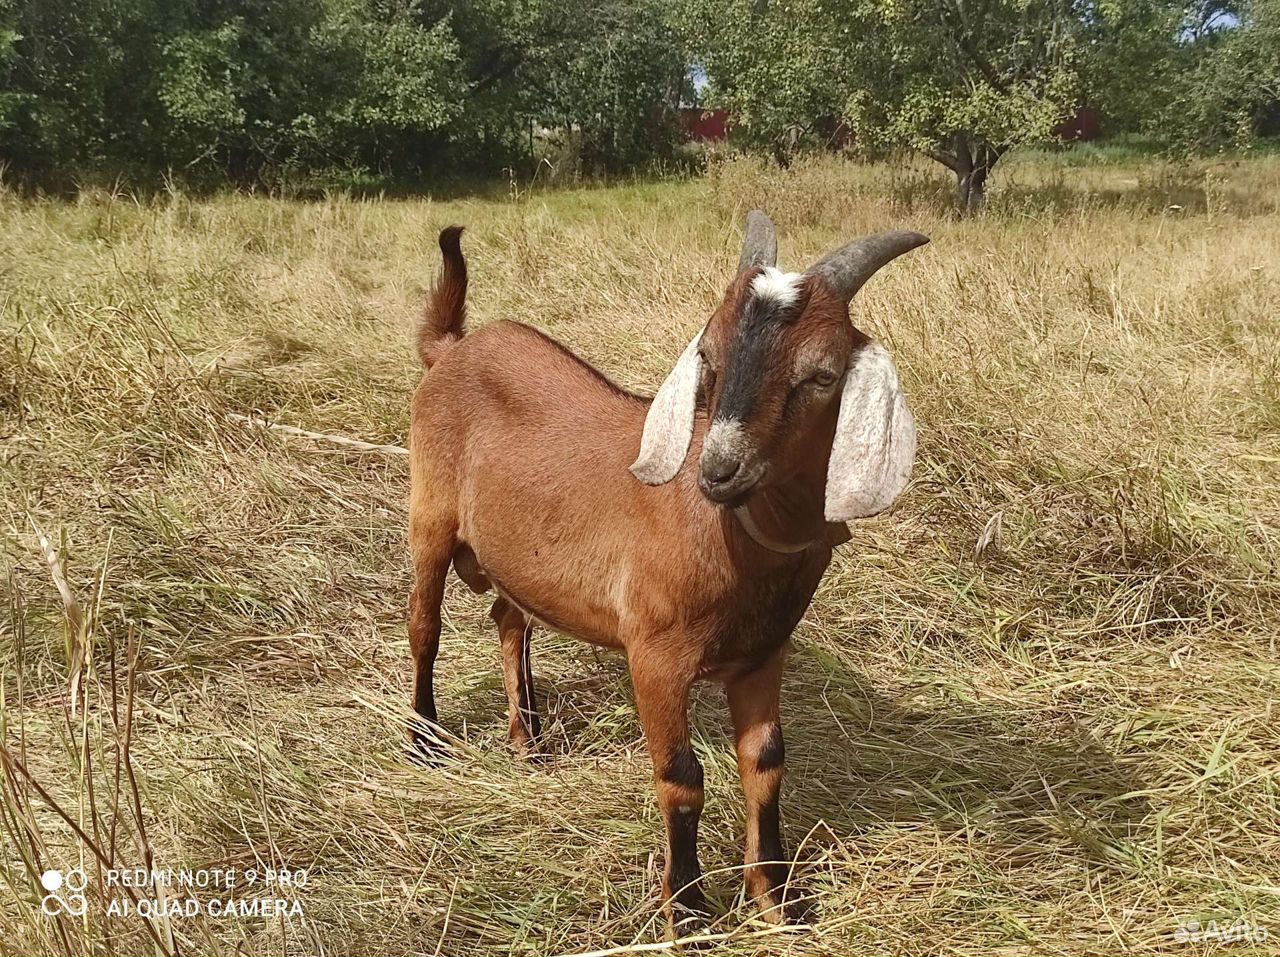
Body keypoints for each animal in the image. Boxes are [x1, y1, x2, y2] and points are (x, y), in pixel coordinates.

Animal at [409, 213, 931, 931]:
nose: (719, 468)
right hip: (428, 515)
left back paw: (528, 740)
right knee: (423, 625)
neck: (723, 530)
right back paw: (425, 741)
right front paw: (686, 910)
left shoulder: (764, 652)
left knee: (508, 618)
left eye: (820, 375)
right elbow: (681, 776)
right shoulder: (653, 655)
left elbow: (767, 762)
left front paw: (778, 897)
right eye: (708, 354)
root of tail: (452, 349)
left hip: (509, 553)